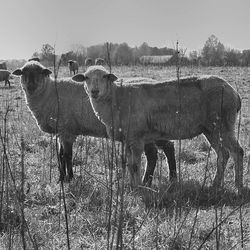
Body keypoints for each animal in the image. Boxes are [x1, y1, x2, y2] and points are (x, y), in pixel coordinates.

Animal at [11, 61, 176, 185]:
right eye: (23, 73)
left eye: (40, 73)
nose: (30, 86)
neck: (50, 92)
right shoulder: (61, 131)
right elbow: (60, 155)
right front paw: (61, 178)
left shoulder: (67, 129)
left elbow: (67, 155)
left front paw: (69, 178)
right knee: (157, 152)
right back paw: (160, 181)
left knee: (164, 149)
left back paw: (163, 180)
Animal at [72, 64, 244, 191]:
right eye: (86, 78)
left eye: (105, 77)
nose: (94, 91)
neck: (116, 99)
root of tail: (235, 93)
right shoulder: (127, 139)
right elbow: (129, 164)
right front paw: (131, 186)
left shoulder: (136, 137)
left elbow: (135, 165)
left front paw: (138, 188)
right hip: (211, 129)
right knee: (223, 154)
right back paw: (215, 184)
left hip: (223, 124)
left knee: (237, 152)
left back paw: (238, 186)